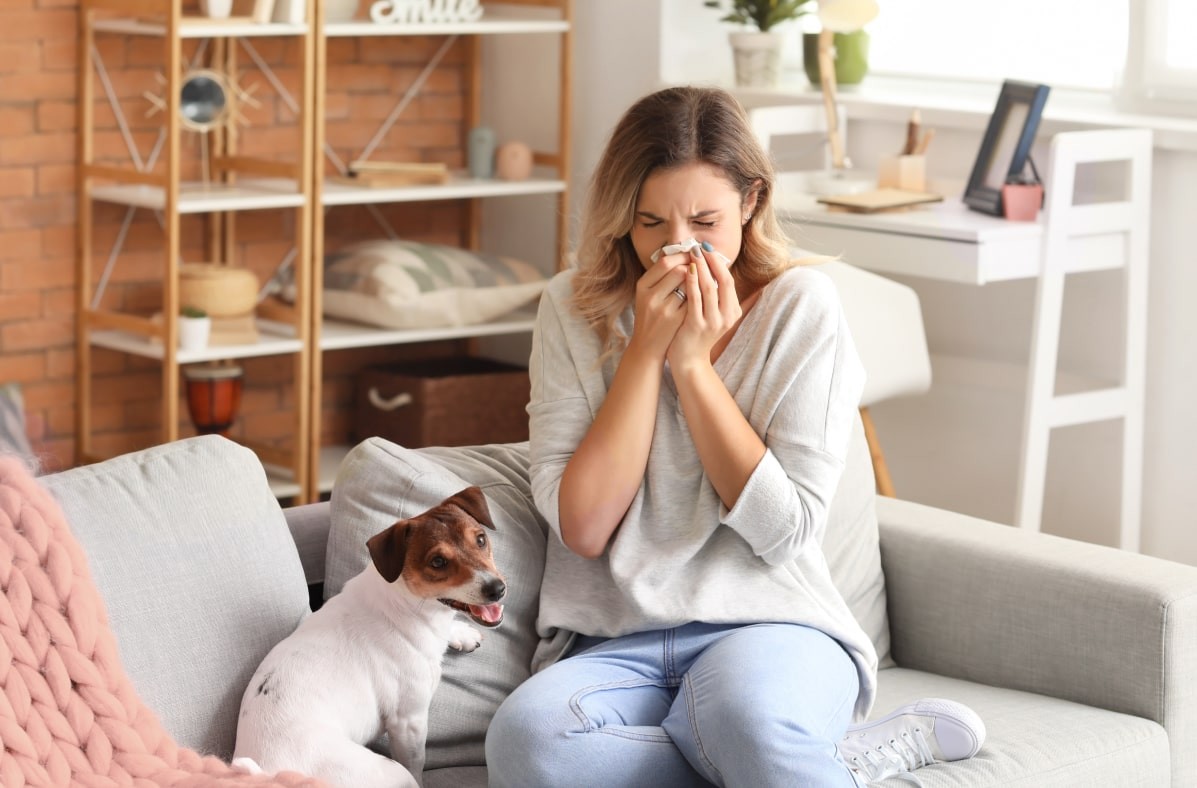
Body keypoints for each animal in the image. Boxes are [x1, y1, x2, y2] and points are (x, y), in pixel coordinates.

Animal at [232, 483, 505, 785]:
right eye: (438, 561)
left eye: (480, 539)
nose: (497, 589)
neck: (405, 604)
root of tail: (266, 774)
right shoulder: (408, 721)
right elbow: (416, 763)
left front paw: (461, 633)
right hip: (381, 769)